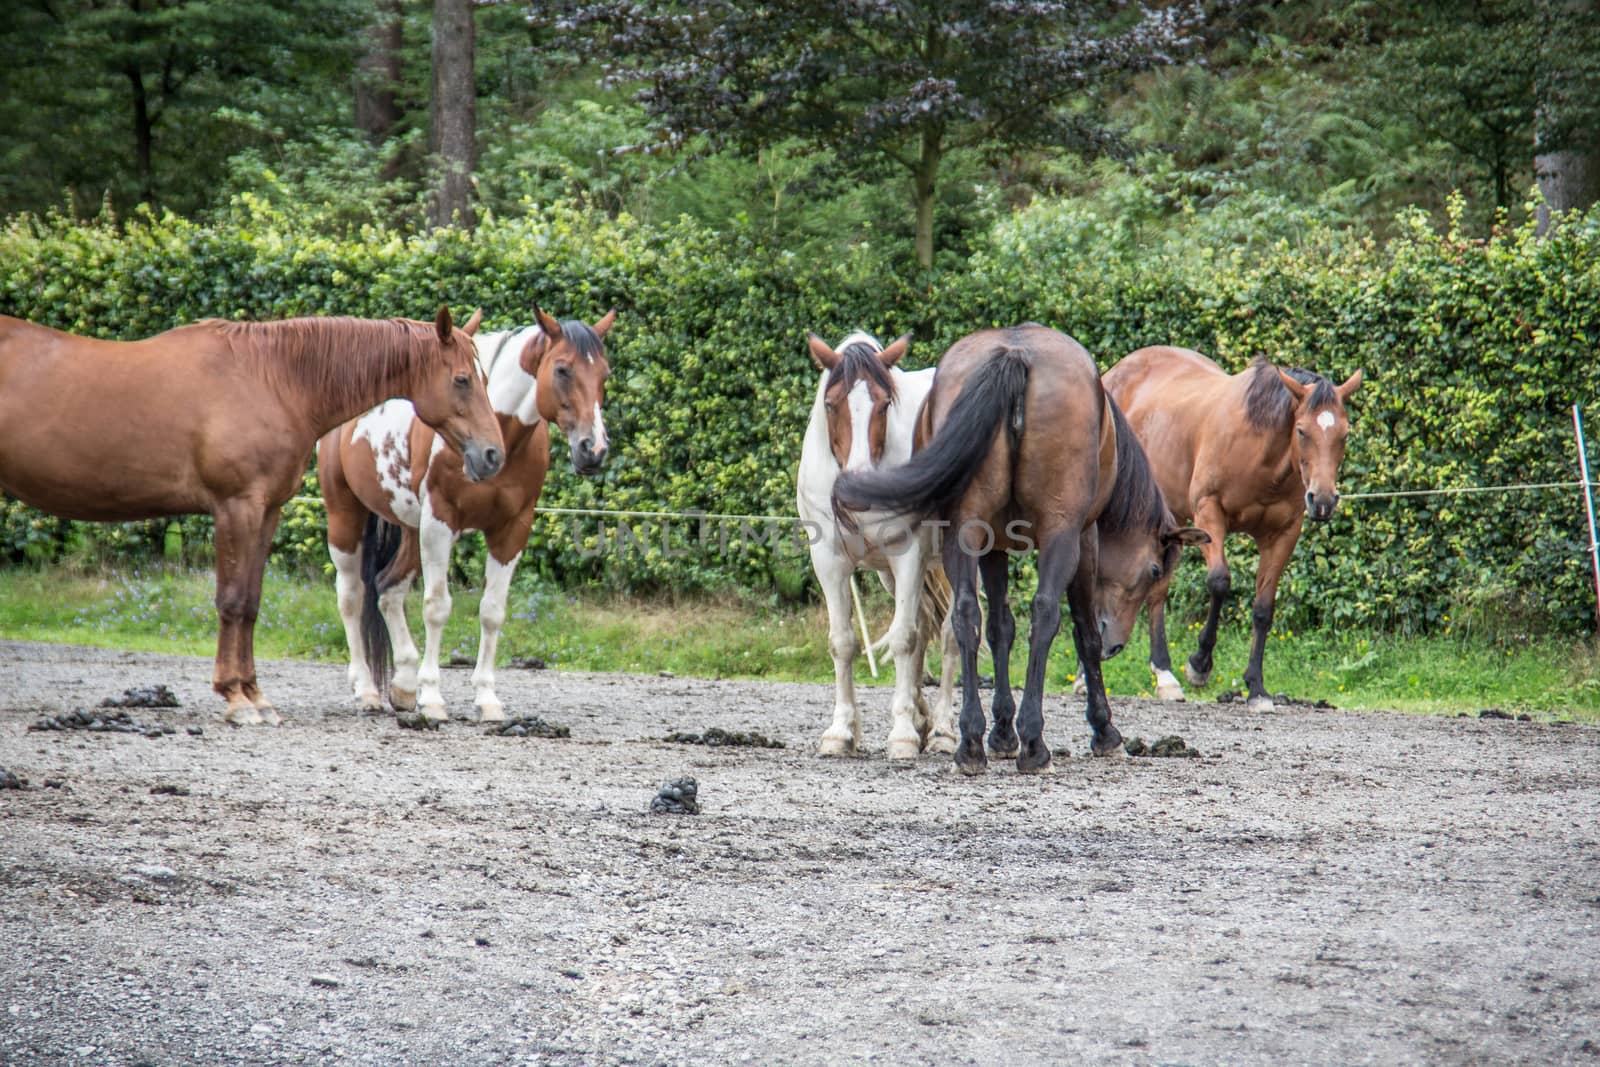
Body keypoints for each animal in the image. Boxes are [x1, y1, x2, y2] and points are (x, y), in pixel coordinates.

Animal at [0, 308, 505, 726]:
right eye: (462, 379)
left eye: (484, 377)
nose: (492, 454)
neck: (273, 379)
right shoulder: (235, 507)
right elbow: (232, 601)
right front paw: (236, 698)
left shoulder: (267, 511)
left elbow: (251, 601)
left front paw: (254, 695)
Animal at [316, 308, 611, 726]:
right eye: (563, 370)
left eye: (604, 374)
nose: (594, 449)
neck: (502, 434)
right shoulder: (441, 524)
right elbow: (437, 608)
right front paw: (432, 698)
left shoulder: (512, 530)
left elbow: (492, 612)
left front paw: (486, 699)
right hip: (346, 516)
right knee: (352, 596)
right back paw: (368, 690)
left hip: (410, 529)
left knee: (388, 589)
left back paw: (403, 685)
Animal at [796, 331, 953, 758]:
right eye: (831, 404)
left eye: (884, 405)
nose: (857, 488)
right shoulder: (829, 562)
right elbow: (843, 642)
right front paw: (841, 732)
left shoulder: (909, 555)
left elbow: (903, 640)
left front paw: (901, 736)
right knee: (925, 627)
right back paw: (922, 717)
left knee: (956, 631)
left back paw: (945, 731)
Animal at [838, 326, 1203, 777]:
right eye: (1154, 570)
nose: (1116, 644)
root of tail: (1014, 354)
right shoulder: (1085, 539)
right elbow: (1082, 632)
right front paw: (1104, 732)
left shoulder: (991, 545)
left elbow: (999, 628)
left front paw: (1000, 733)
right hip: (1062, 535)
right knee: (1045, 613)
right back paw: (1033, 744)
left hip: (965, 530)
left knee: (966, 615)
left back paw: (971, 743)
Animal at [1100, 347, 1363, 710]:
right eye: (1301, 431)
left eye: (1345, 434)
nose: (1322, 500)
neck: (1260, 452)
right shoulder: (1209, 514)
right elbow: (1219, 582)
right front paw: (1199, 665)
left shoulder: (1284, 534)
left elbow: (1264, 608)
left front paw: (1256, 688)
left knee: (1157, 591)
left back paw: (1165, 676)